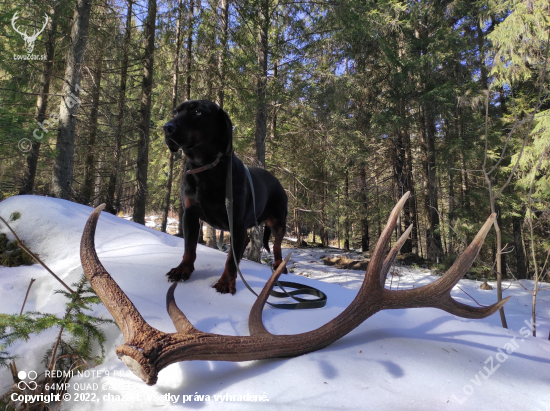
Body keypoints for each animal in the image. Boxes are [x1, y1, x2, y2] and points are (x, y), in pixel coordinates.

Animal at [163, 100, 288, 294]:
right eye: (175, 112)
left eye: (198, 112)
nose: (167, 127)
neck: (207, 168)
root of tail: (278, 182)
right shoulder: (190, 215)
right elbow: (189, 247)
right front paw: (182, 270)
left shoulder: (236, 222)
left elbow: (230, 261)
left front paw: (226, 283)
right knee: (245, 242)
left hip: (278, 222)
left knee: (276, 247)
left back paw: (278, 267)